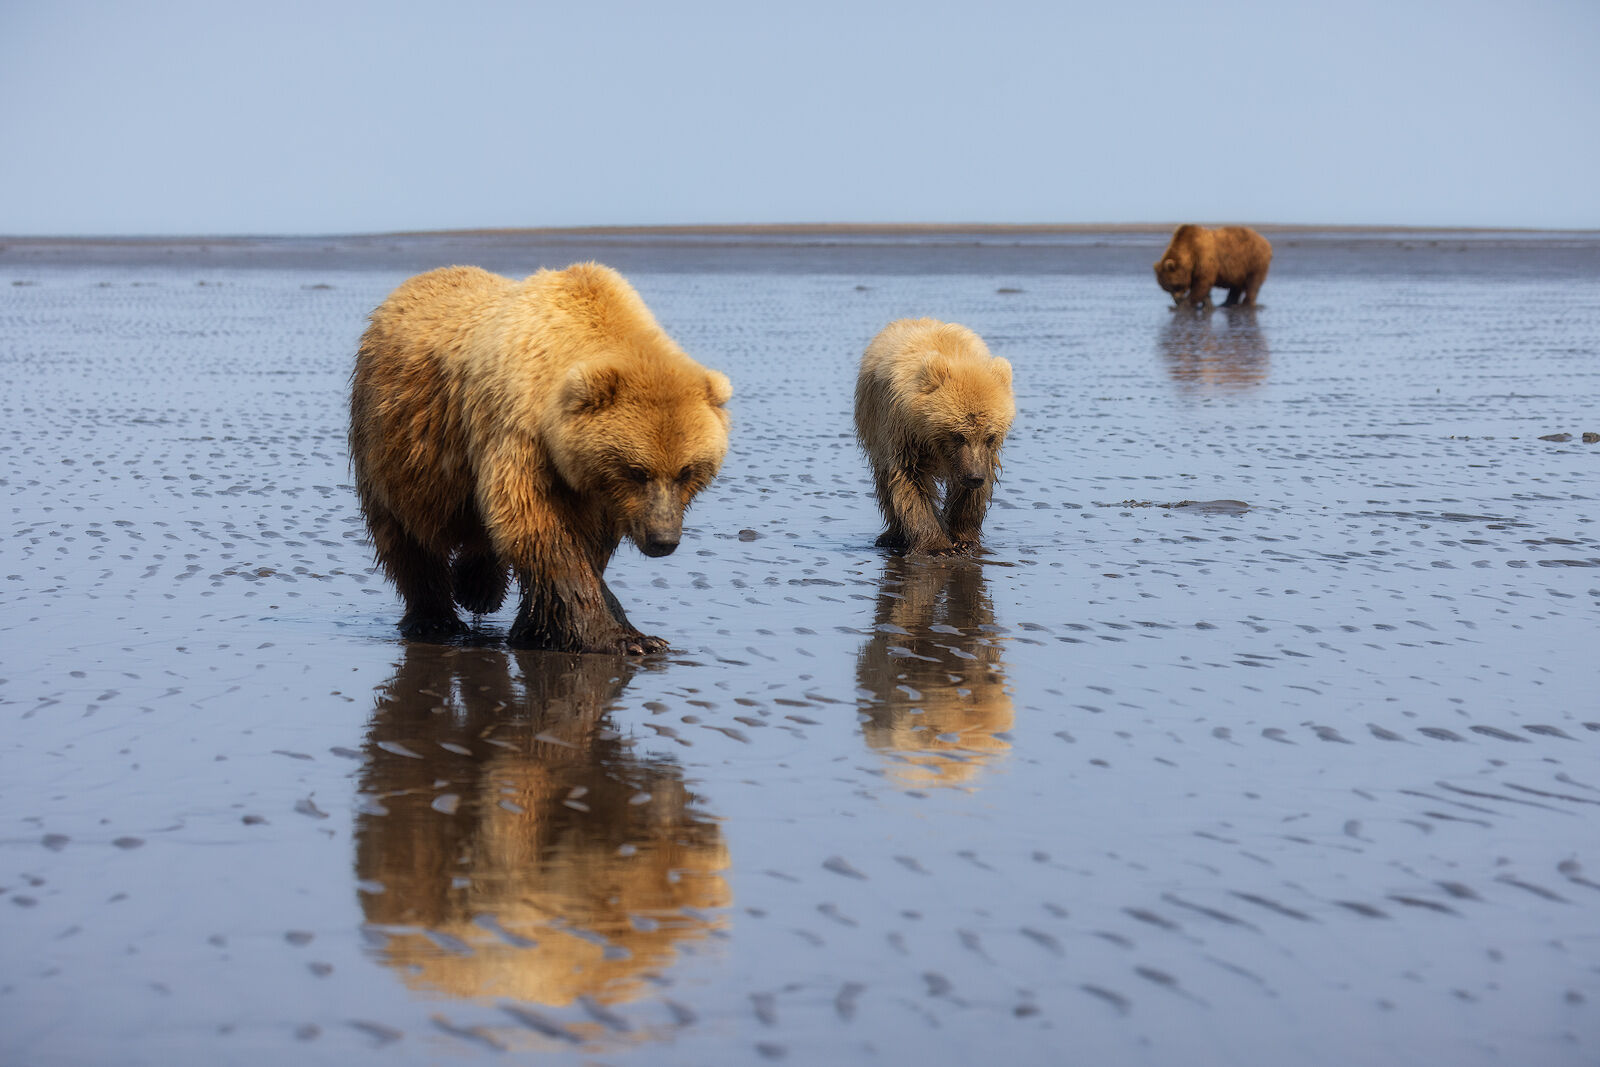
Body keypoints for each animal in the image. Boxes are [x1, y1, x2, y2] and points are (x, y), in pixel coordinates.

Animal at [349, 262, 732, 655]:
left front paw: (536, 628)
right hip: (394, 443)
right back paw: (433, 618)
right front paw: (623, 638)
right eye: (638, 471)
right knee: (405, 534)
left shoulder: (597, 490)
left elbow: (588, 542)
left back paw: (479, 589)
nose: (663, 540)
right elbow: (538, 528)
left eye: (686, 471)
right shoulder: (518, 434)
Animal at [854, 318, 1015, 556]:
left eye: (990, 436)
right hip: (874, 426)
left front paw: (963, 539)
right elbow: (910, 481)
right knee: (884, 482)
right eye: (958, 435)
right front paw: (937, 546)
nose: (975, 477)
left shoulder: (979, 457)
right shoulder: (904, 436)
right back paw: (892, 536)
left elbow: (969, 492)